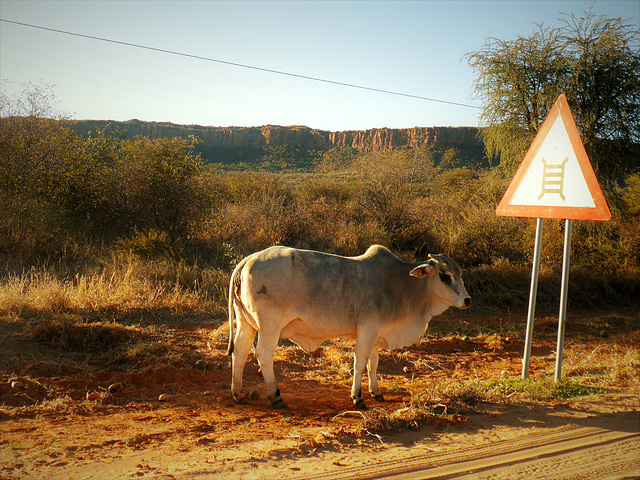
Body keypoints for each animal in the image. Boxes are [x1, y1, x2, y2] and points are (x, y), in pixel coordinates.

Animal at [228, 244, 468, 408]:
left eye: (460, 274)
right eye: (445, 276)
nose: (468, 300)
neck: (399, 283)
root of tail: (248, 259)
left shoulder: (376, 332)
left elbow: (373, 363)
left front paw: (376, 392)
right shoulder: (368, 328)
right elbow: (360, 362)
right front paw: (358, 397)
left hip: (245, 323)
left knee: (239, 352)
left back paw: (237, 393)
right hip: (270, 326)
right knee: (263, 354)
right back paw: (275, 396)